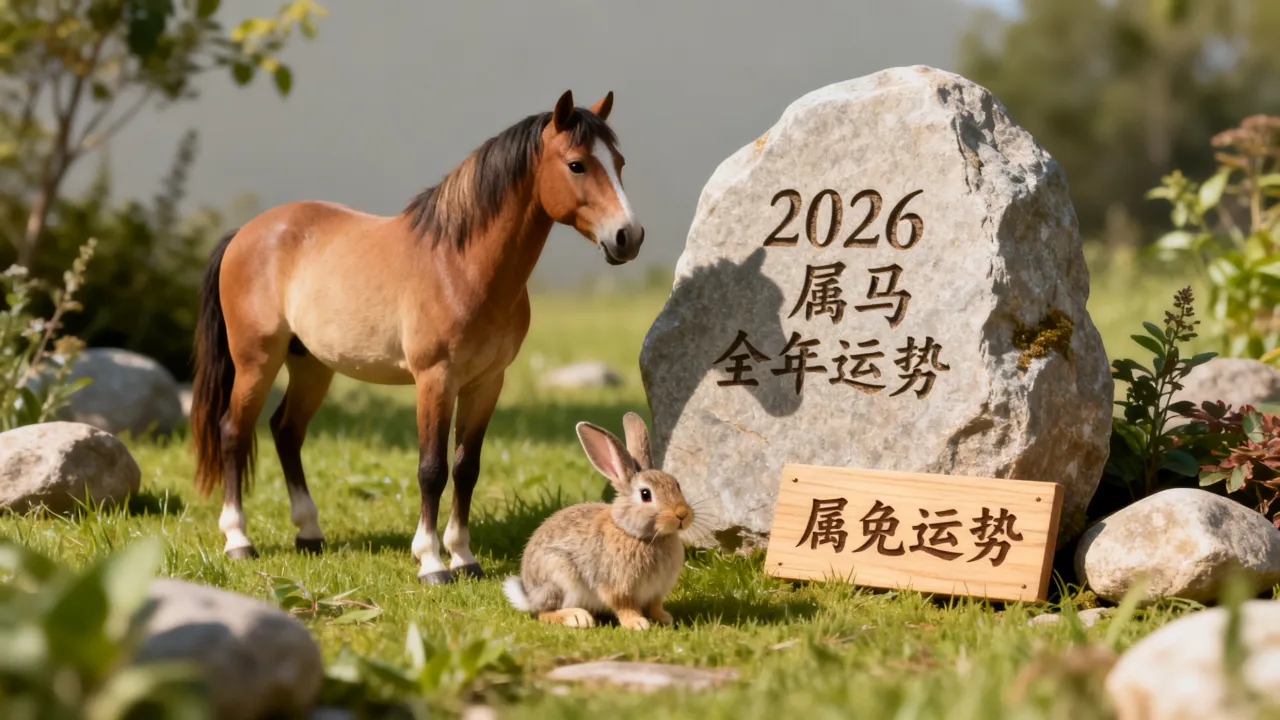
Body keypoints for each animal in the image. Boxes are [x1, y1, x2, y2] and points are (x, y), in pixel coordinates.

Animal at [189, 90, 643, 585]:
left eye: (620, 162)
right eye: (577, 164)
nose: (629, 236)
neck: (459, 265)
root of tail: (246, 233)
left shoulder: (487, 383)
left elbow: (466, 468)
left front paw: (464, 557)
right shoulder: (435, 380)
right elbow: (432, 469)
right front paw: (431, 561)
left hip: (311, 366)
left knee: (286, 432)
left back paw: (309, 533)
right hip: (256, 361)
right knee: (233, 432)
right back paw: (238, 540)